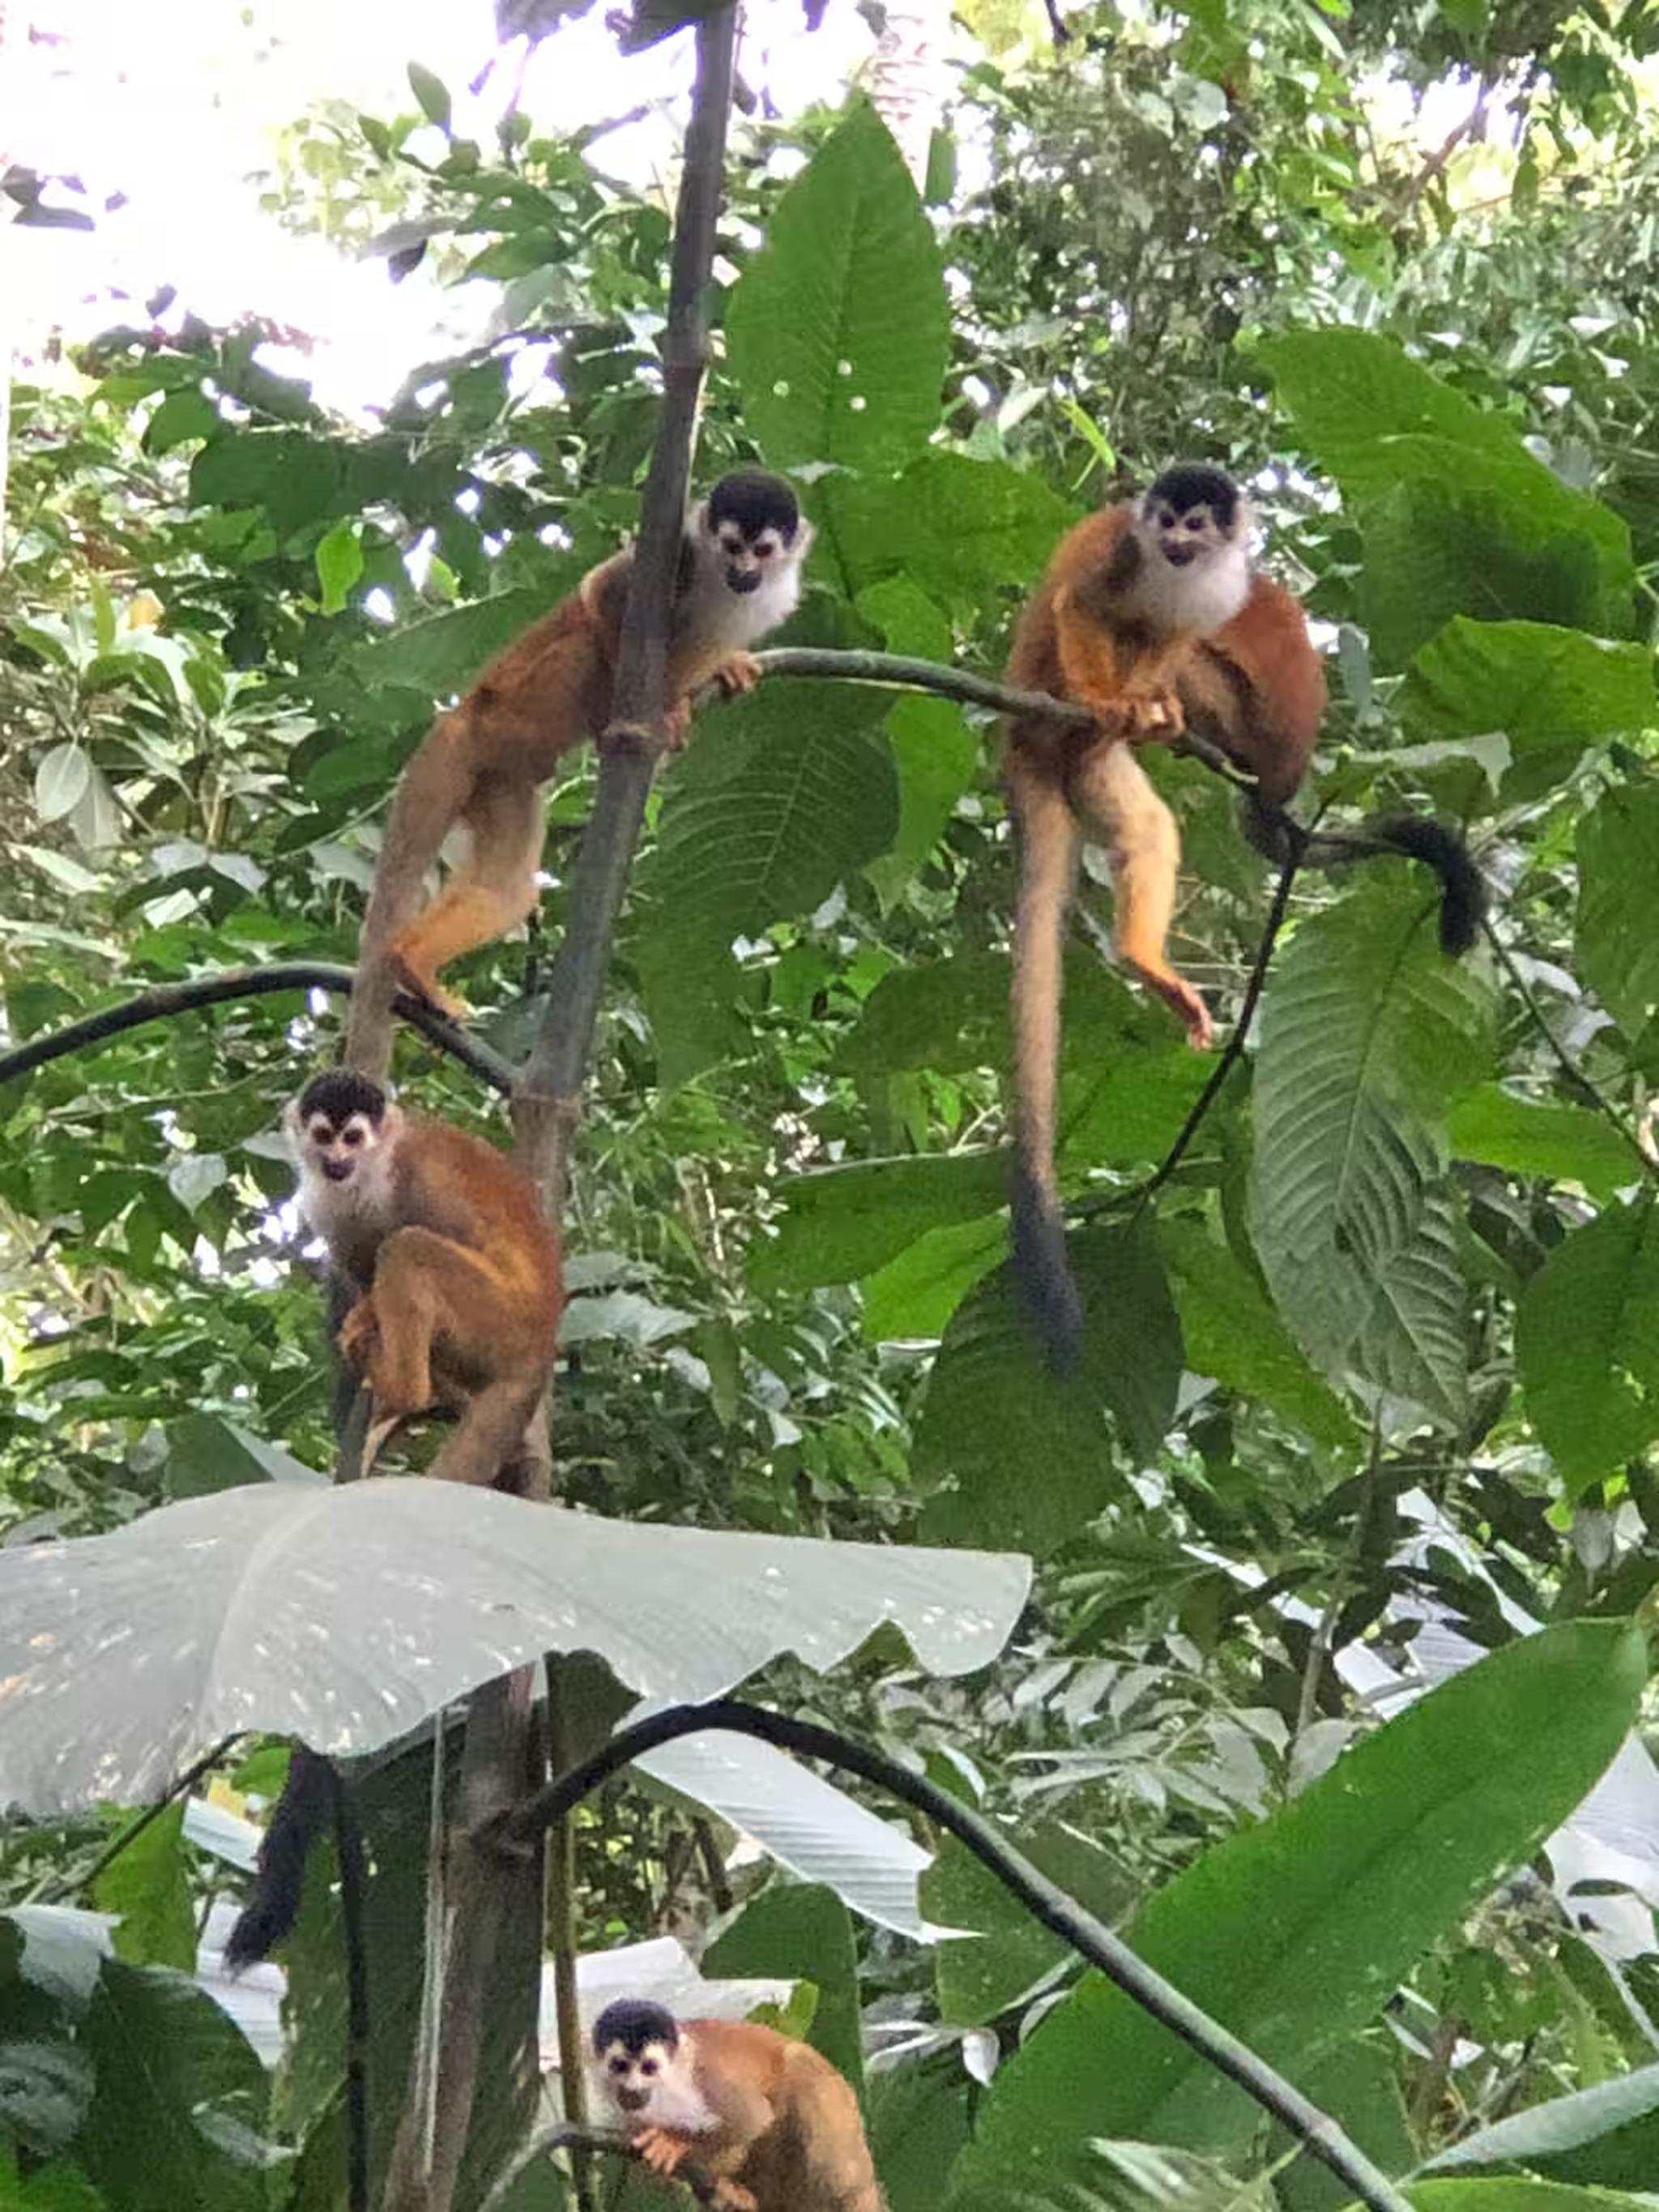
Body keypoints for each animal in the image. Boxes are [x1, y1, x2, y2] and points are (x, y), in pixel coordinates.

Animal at [285, 1068, 562, 1486]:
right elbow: (359, 1263)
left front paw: (366, 1317)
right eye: (323, 1136)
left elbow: (463, 1233)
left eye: (353, 1138)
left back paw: (405, 1389)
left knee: (408, 1245)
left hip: (504, 1319)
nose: (337, 1160)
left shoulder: (421, 1172)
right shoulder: (325, 1201)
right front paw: (363, 1312)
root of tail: (542, 1345)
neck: (371, 1170)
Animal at [345, 470, 813, 1081]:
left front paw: (725, 667)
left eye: (762, 551)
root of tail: (459, 717)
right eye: (732, 545)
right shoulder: (676, 558)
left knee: (506, 889)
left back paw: (411, 961)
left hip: (500, 780)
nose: (744, 571)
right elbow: (601, 595)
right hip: (512, 705)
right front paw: (660, 713)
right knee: (588, 642)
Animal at [590, 1999, 886, 2212]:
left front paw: (675, 2143)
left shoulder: (705, 2078)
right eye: (620, 2066)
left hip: (838, 2115)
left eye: (649, 2068)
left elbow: (752, 2118)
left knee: (799, 2072)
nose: (632, 2087)